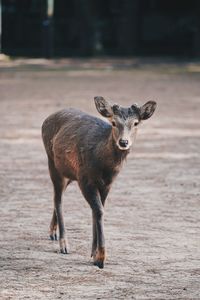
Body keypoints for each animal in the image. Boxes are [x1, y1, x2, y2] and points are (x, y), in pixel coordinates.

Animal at [41, 96, 157, 268]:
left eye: (136, 123)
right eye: (114, 122)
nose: (123, 142)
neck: (104, 166)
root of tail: (46, 119)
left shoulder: (107, 184)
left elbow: (97, 210)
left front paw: (93, 252)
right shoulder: (85, 179)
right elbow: (99, 211)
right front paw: (100, 257)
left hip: (69, 173)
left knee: (59, 197)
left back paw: (52, 232)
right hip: (53, 164)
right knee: (58, 199)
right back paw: (64, 244)